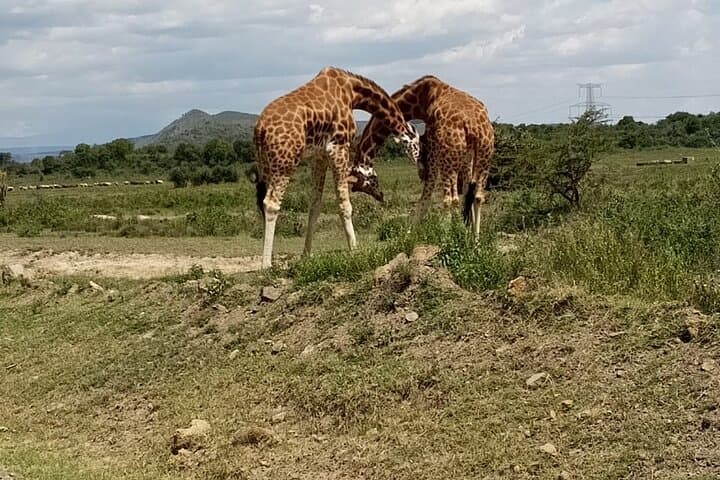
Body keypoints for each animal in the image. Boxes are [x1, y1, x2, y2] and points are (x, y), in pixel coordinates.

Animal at [252, 67, 420, 268]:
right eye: (416, 143)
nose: (381, 195)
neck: (353, 92)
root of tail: (260, 130)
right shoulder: (339, 148)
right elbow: (345, 205)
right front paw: (355, 250)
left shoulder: (319, 157)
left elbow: (315, 206)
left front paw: (306, 255)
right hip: (284, 163)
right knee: (271, 204)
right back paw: (266, 264)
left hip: (267, 166)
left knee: (263, 203)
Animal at [356, 75, 495, 237]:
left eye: (368, 182)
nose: (380, 196)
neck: (420, 101)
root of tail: (474, 125)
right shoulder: (466, 155)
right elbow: (466, 192)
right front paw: (465, 230)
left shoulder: (433, 147)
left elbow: (425, 199)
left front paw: (407, 235)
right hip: (484, 153)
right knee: (477, 196)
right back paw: (476, 239)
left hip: (449, 157)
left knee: (448, 198)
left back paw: (447, 237)